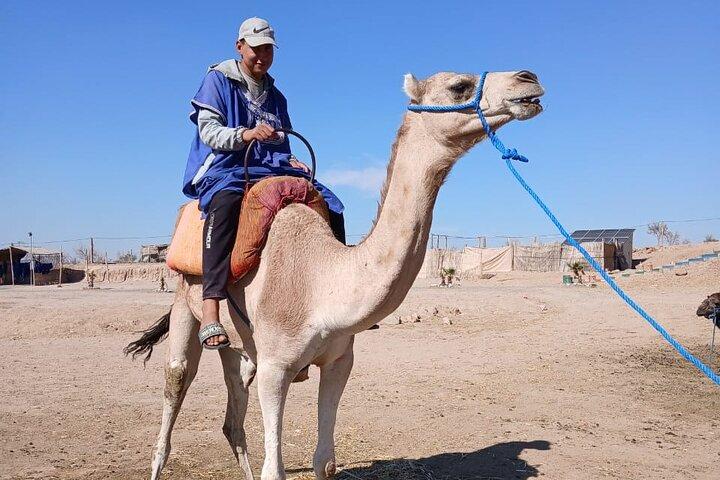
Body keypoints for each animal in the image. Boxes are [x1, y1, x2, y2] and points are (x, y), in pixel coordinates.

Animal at [126, 69, 544, 480]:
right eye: (459, 86)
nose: (528, 80)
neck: (322, 283)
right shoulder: (275, 366)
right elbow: (274, 469)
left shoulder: (340, 360)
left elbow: (324, 461)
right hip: (185, 301)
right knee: (177, 379)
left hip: (239, 346)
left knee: (234, 410)